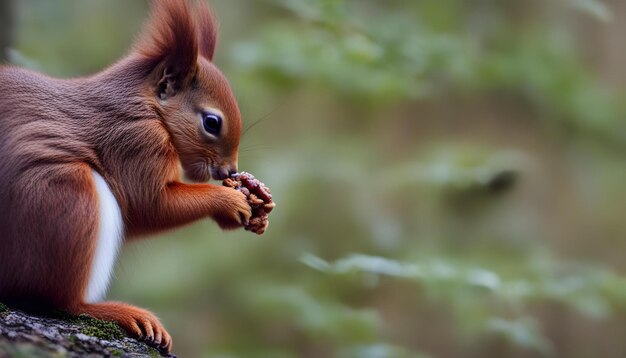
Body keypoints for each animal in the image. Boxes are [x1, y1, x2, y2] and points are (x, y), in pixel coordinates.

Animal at [0, 0, 251, 352]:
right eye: (212, 122)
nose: (230, 172)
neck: (147, 107)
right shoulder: (134, 141)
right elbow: (149, 205)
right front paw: (229, 201)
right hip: (63, 199)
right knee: (58, 300)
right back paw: (115, 312)